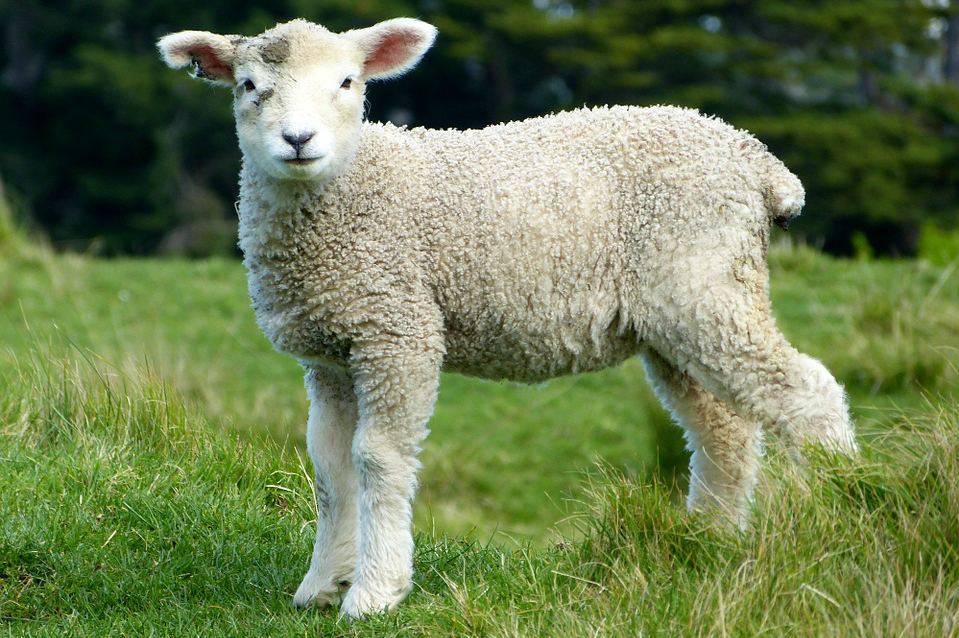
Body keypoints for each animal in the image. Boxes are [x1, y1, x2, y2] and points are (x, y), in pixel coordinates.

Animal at [157, 17, 857, 618]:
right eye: (250, 87)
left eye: (348, 82)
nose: (298, 140)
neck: (353, 190)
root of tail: (759, 162)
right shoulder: (331, 350)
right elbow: (330, 468)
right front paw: (321, 586)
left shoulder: (398, 329)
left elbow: (377, 457)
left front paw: (376, 591)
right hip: (678, 315)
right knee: (723, 431)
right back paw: (708, 544)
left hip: (704, 285)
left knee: (807, 392)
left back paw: (843, 513)